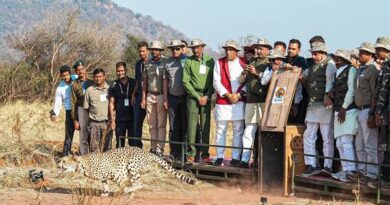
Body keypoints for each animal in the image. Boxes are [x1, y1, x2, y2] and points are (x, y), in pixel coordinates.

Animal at [56, 147, 197, 196]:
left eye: (64, 161)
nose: (57, 164)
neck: (81, 164)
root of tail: (147, 152)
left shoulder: (115, 173)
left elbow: (121, 183)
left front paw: (124, 191)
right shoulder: (105, 177)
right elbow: (105, 184)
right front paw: (106, 193)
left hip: (131, 165)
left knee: (140, 182)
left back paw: (129, 190)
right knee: (136, 181)